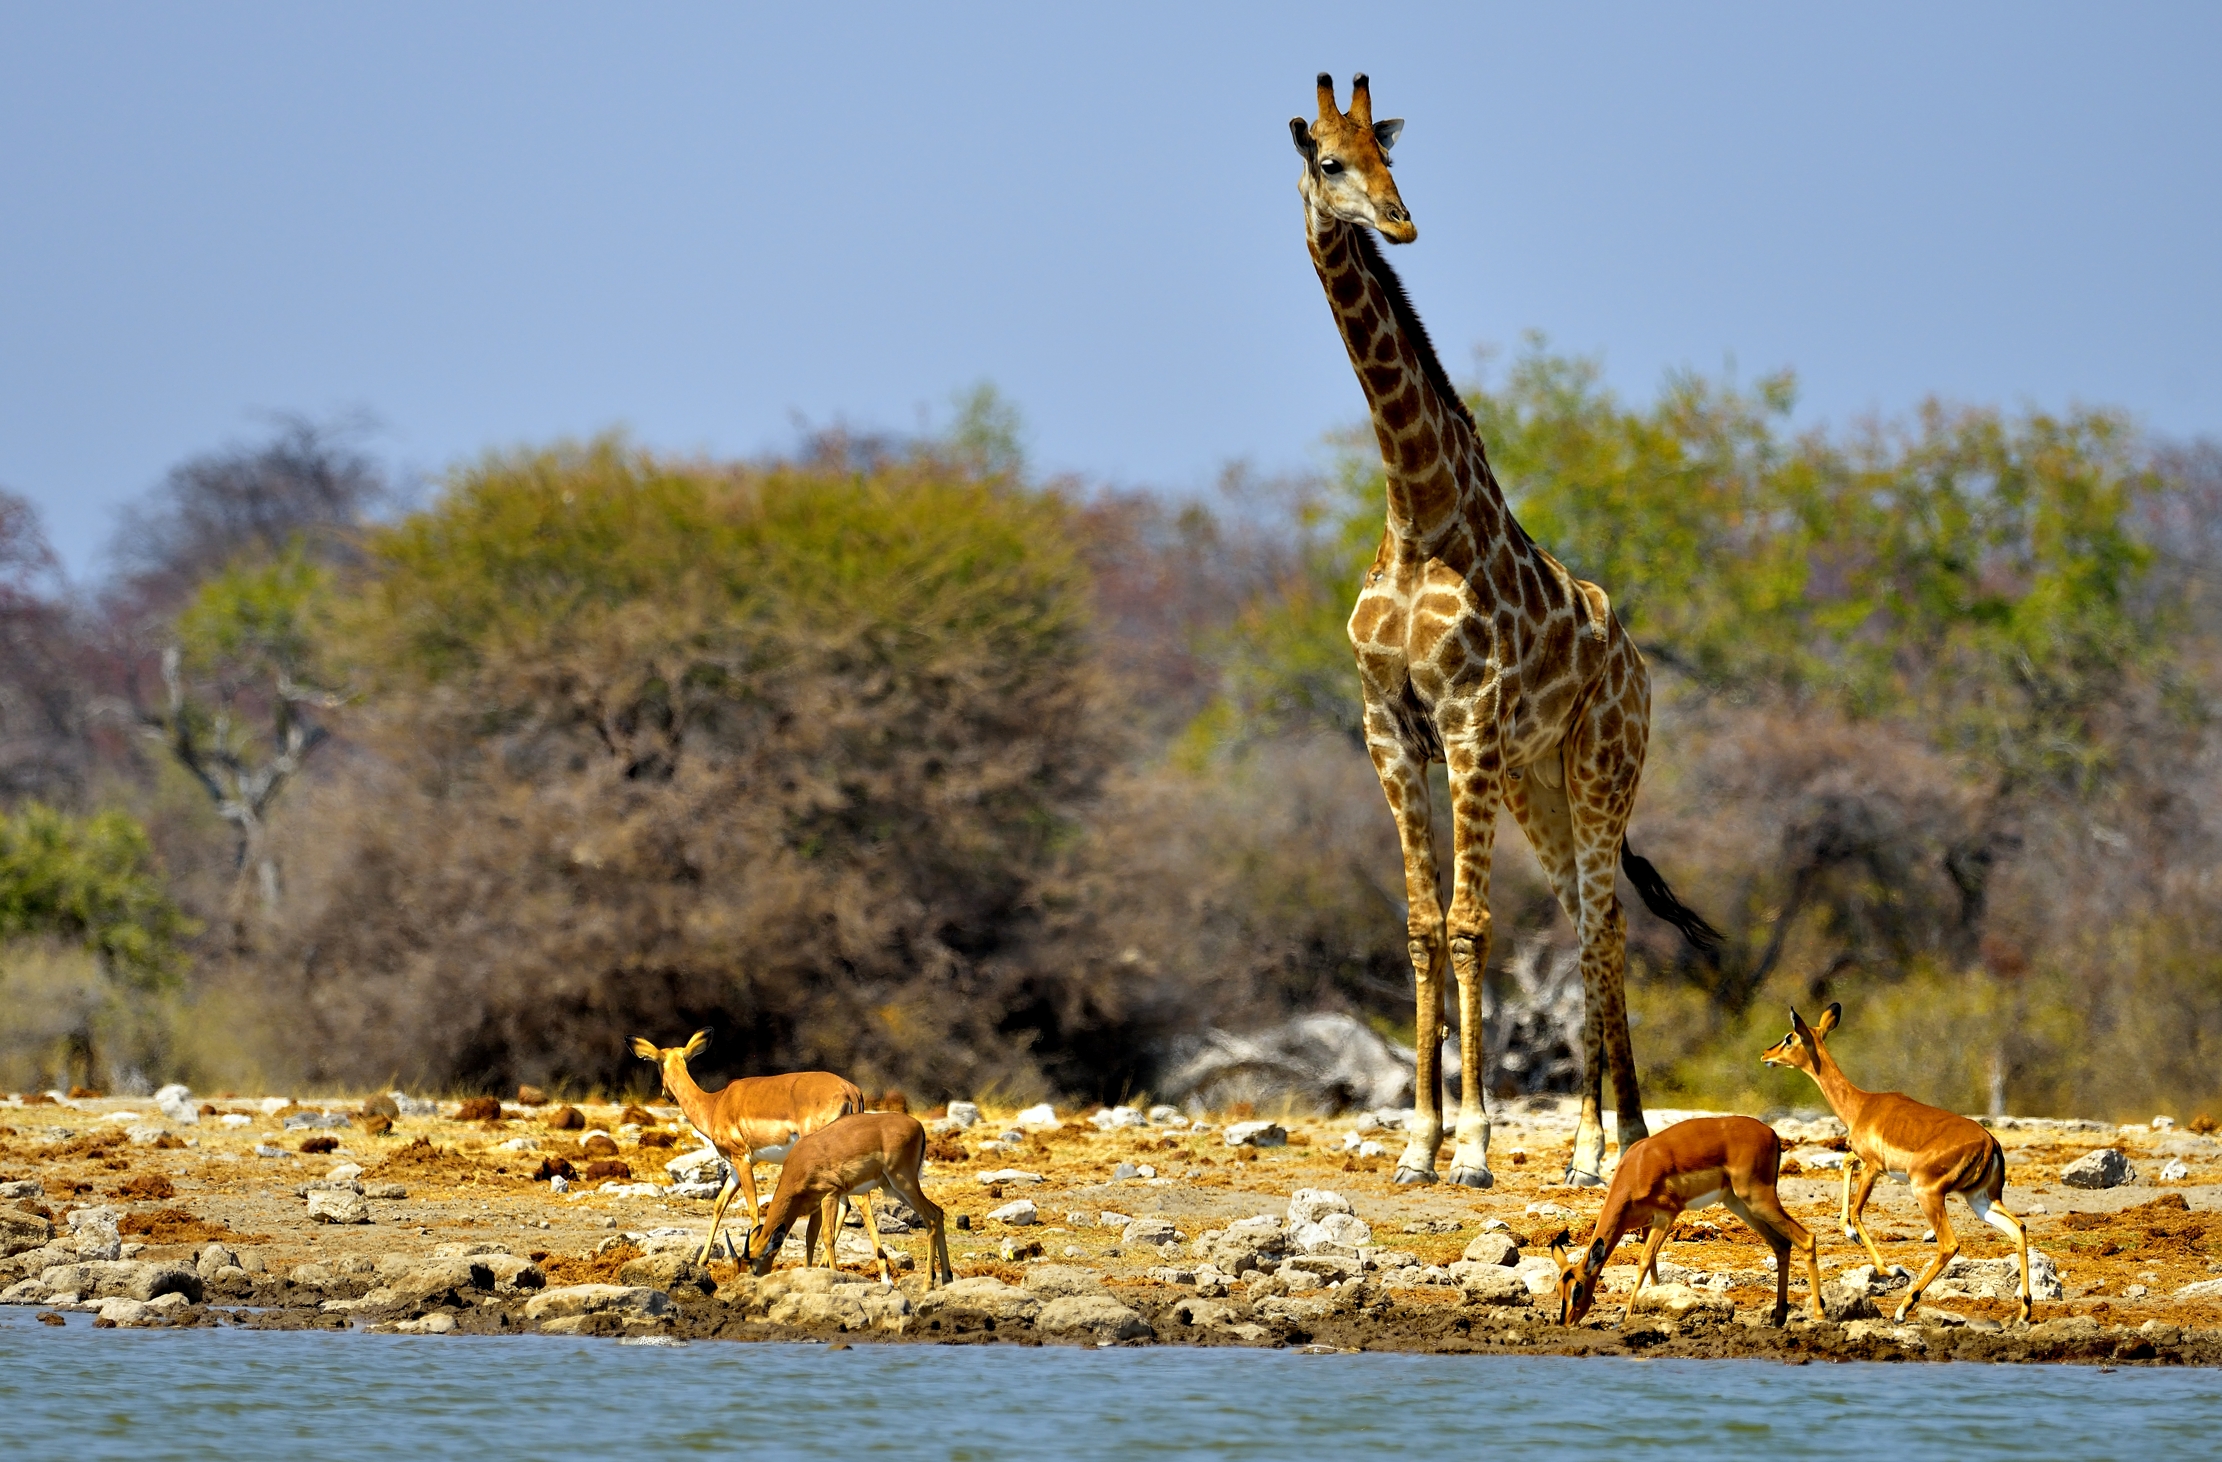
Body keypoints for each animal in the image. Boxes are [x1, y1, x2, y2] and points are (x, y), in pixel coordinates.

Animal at [1289, 74, 1721, 1186]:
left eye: (1390, 156)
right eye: (1329, 162)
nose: (1398, 221)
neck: (1415, 512)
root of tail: (1637, 664)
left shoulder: (1468, 722)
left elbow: (1470, 924)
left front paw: (1476, 1145)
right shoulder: (1390, 728)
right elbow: (1416, 924)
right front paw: (1418, 1143)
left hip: (1601, 765)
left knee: (1601, 923)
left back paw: (1602, 1144)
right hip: (1541, 782)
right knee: (1589, 915)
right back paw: (1610, 1135)